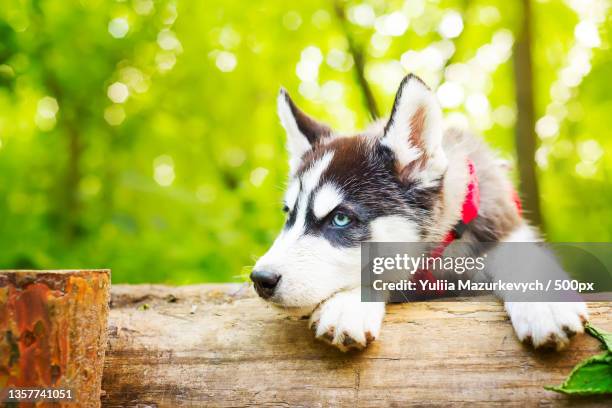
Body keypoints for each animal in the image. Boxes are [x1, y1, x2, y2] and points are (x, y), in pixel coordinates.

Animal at [250, 75, 588, 352]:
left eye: (341, 218)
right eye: (288, 213)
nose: (260, 279)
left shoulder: (502, 225)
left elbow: (520, 255)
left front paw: (544, 300)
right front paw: (349, 302)